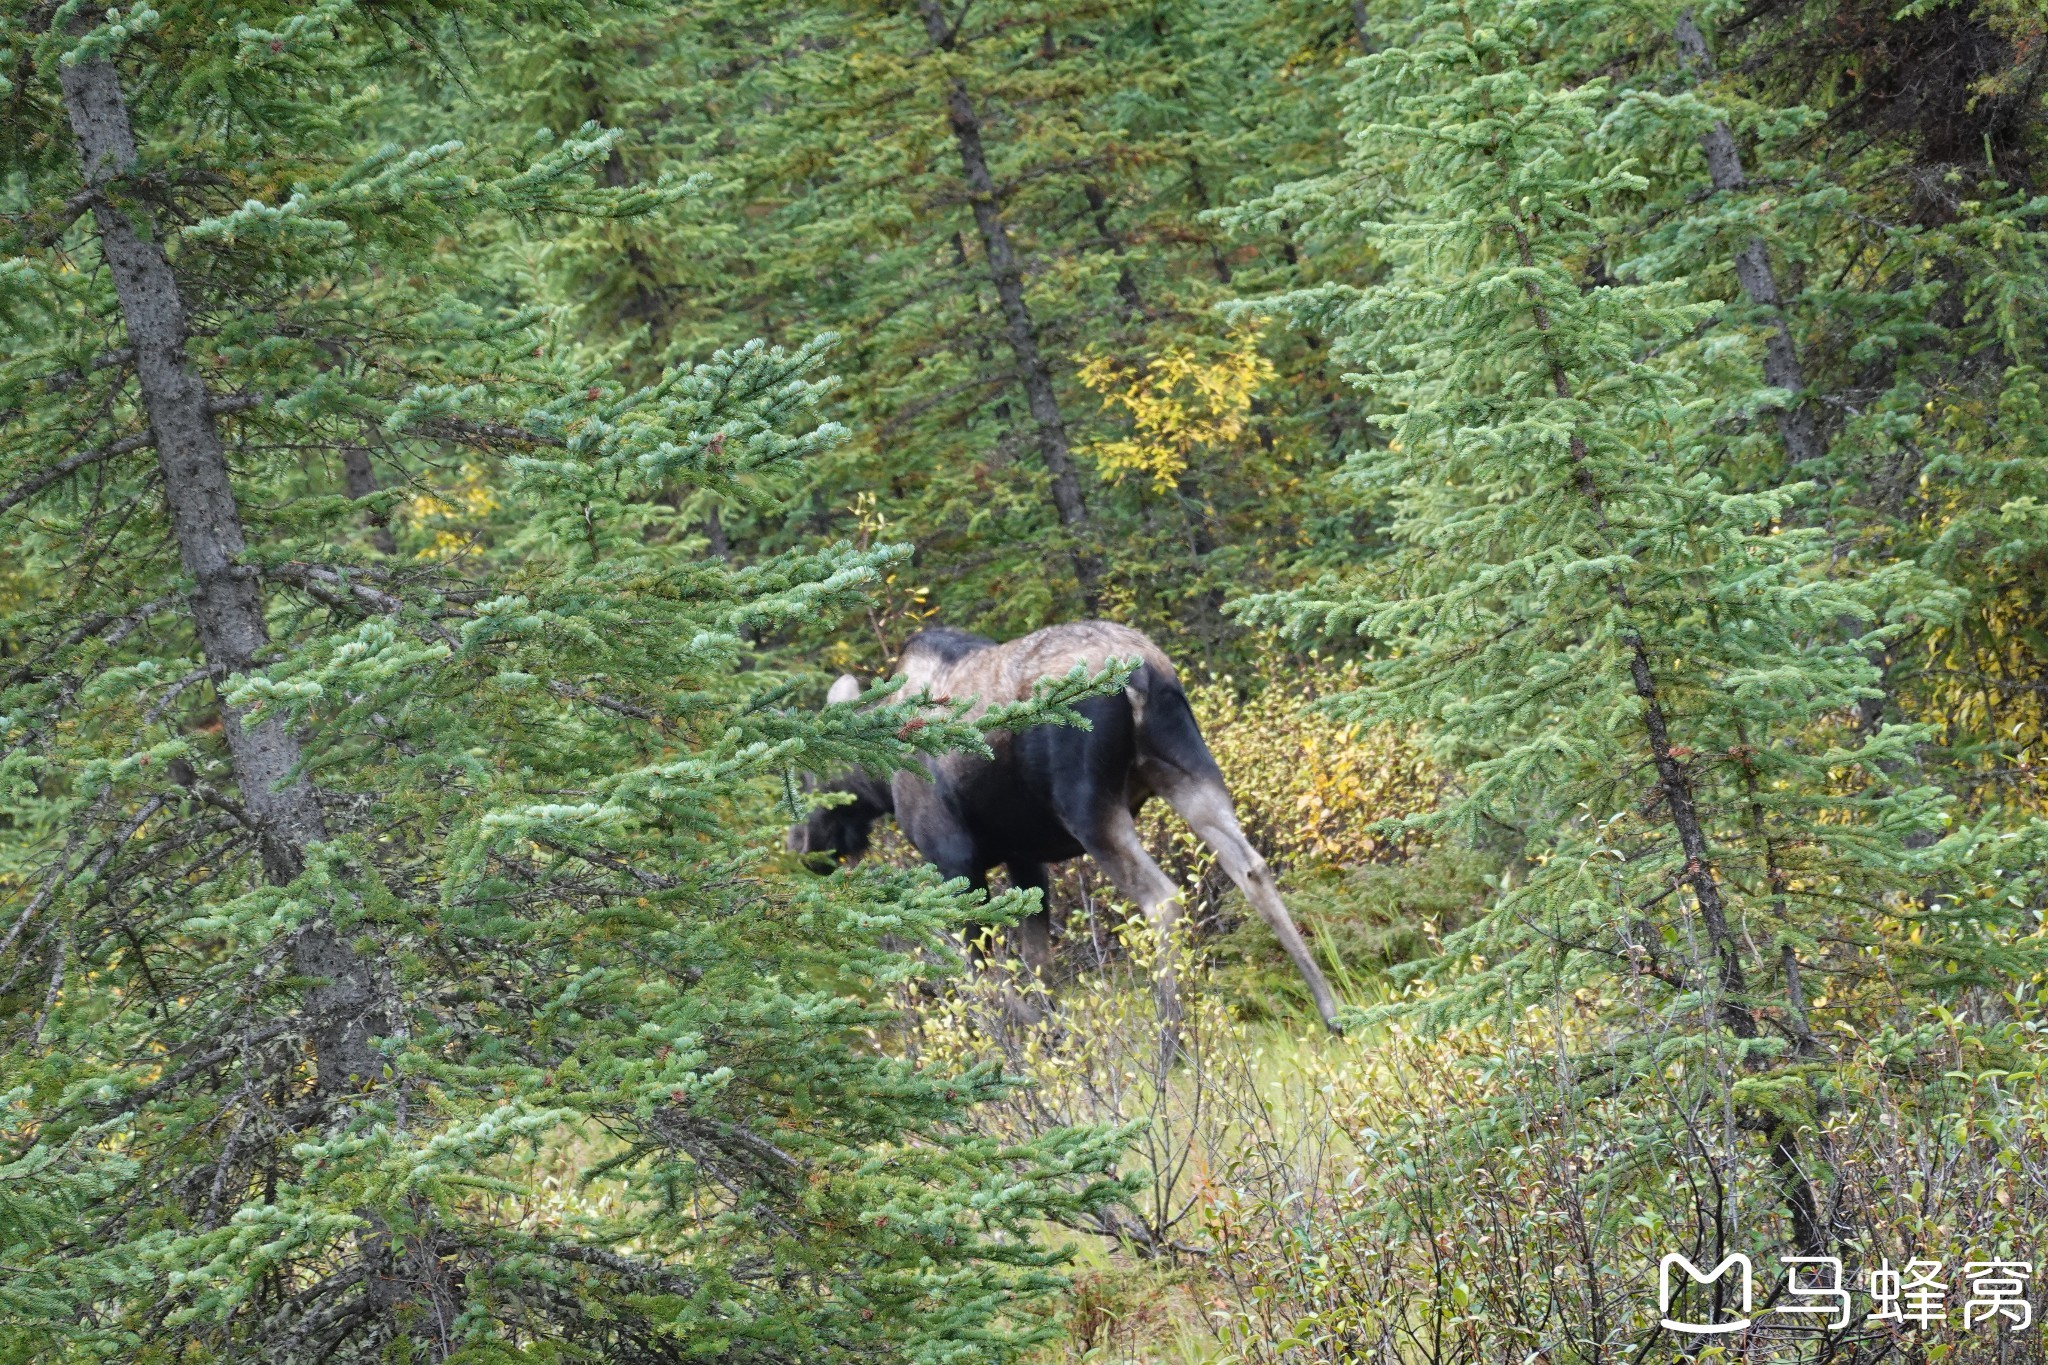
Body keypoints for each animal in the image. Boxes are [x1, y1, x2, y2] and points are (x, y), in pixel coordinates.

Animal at [786, 626, 1343, 1031]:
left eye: (808, 777)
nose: (803, 848)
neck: (879, 781)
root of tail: (1145, 672)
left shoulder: (954, 862)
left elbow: (978, 972)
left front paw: (1036, 1038)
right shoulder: (1025, 860)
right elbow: (1036, 964)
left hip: (1088, 806)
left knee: (1162, 898)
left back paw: (1173, 1045)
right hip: (1186, 766)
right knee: (1251, 868)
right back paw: (1332, 1011)